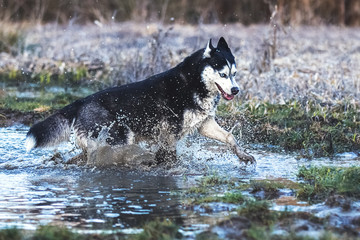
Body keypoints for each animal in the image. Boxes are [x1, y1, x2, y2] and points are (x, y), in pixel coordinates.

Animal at [25, 37, 255, 165]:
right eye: (223, 74)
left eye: (235, 73)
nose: (236, 90)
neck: (193, 83)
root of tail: (81, 101)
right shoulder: (169, 133)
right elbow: (169, 155)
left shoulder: (204, 124)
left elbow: (230, 138)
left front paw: (243, 155)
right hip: (119, 137)